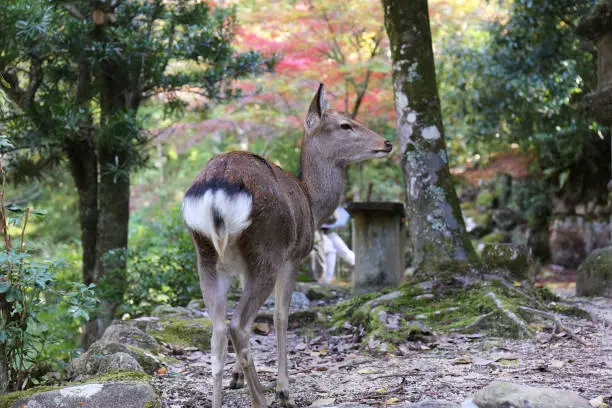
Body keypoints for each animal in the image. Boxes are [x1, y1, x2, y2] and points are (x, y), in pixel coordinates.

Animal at [182, 83, 392, 408]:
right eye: (345, 124)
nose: (387, 142)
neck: (312, 201)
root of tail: (217, 191)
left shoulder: (240, 269)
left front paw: (237, 378)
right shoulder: (293, 257)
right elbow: (281, 317)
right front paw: (283, 389)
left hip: (205, 257)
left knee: (217, 332)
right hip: (265, 250)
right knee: (239, 325)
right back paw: (264, 399)